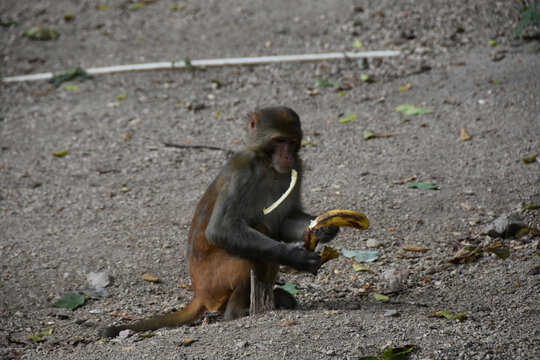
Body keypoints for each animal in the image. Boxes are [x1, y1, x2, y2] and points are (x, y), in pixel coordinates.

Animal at [101, 107, 338, 338]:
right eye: (279, 140)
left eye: (293, 140)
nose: (287, 156)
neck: (268, 165)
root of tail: (198, 292)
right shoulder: (241, 171)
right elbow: (220, 230)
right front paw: (295, 256)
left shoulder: (298, 166)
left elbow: (286, 221)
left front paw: (325, 229)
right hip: (214, 282)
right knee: (257, 238)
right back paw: (238, 310)